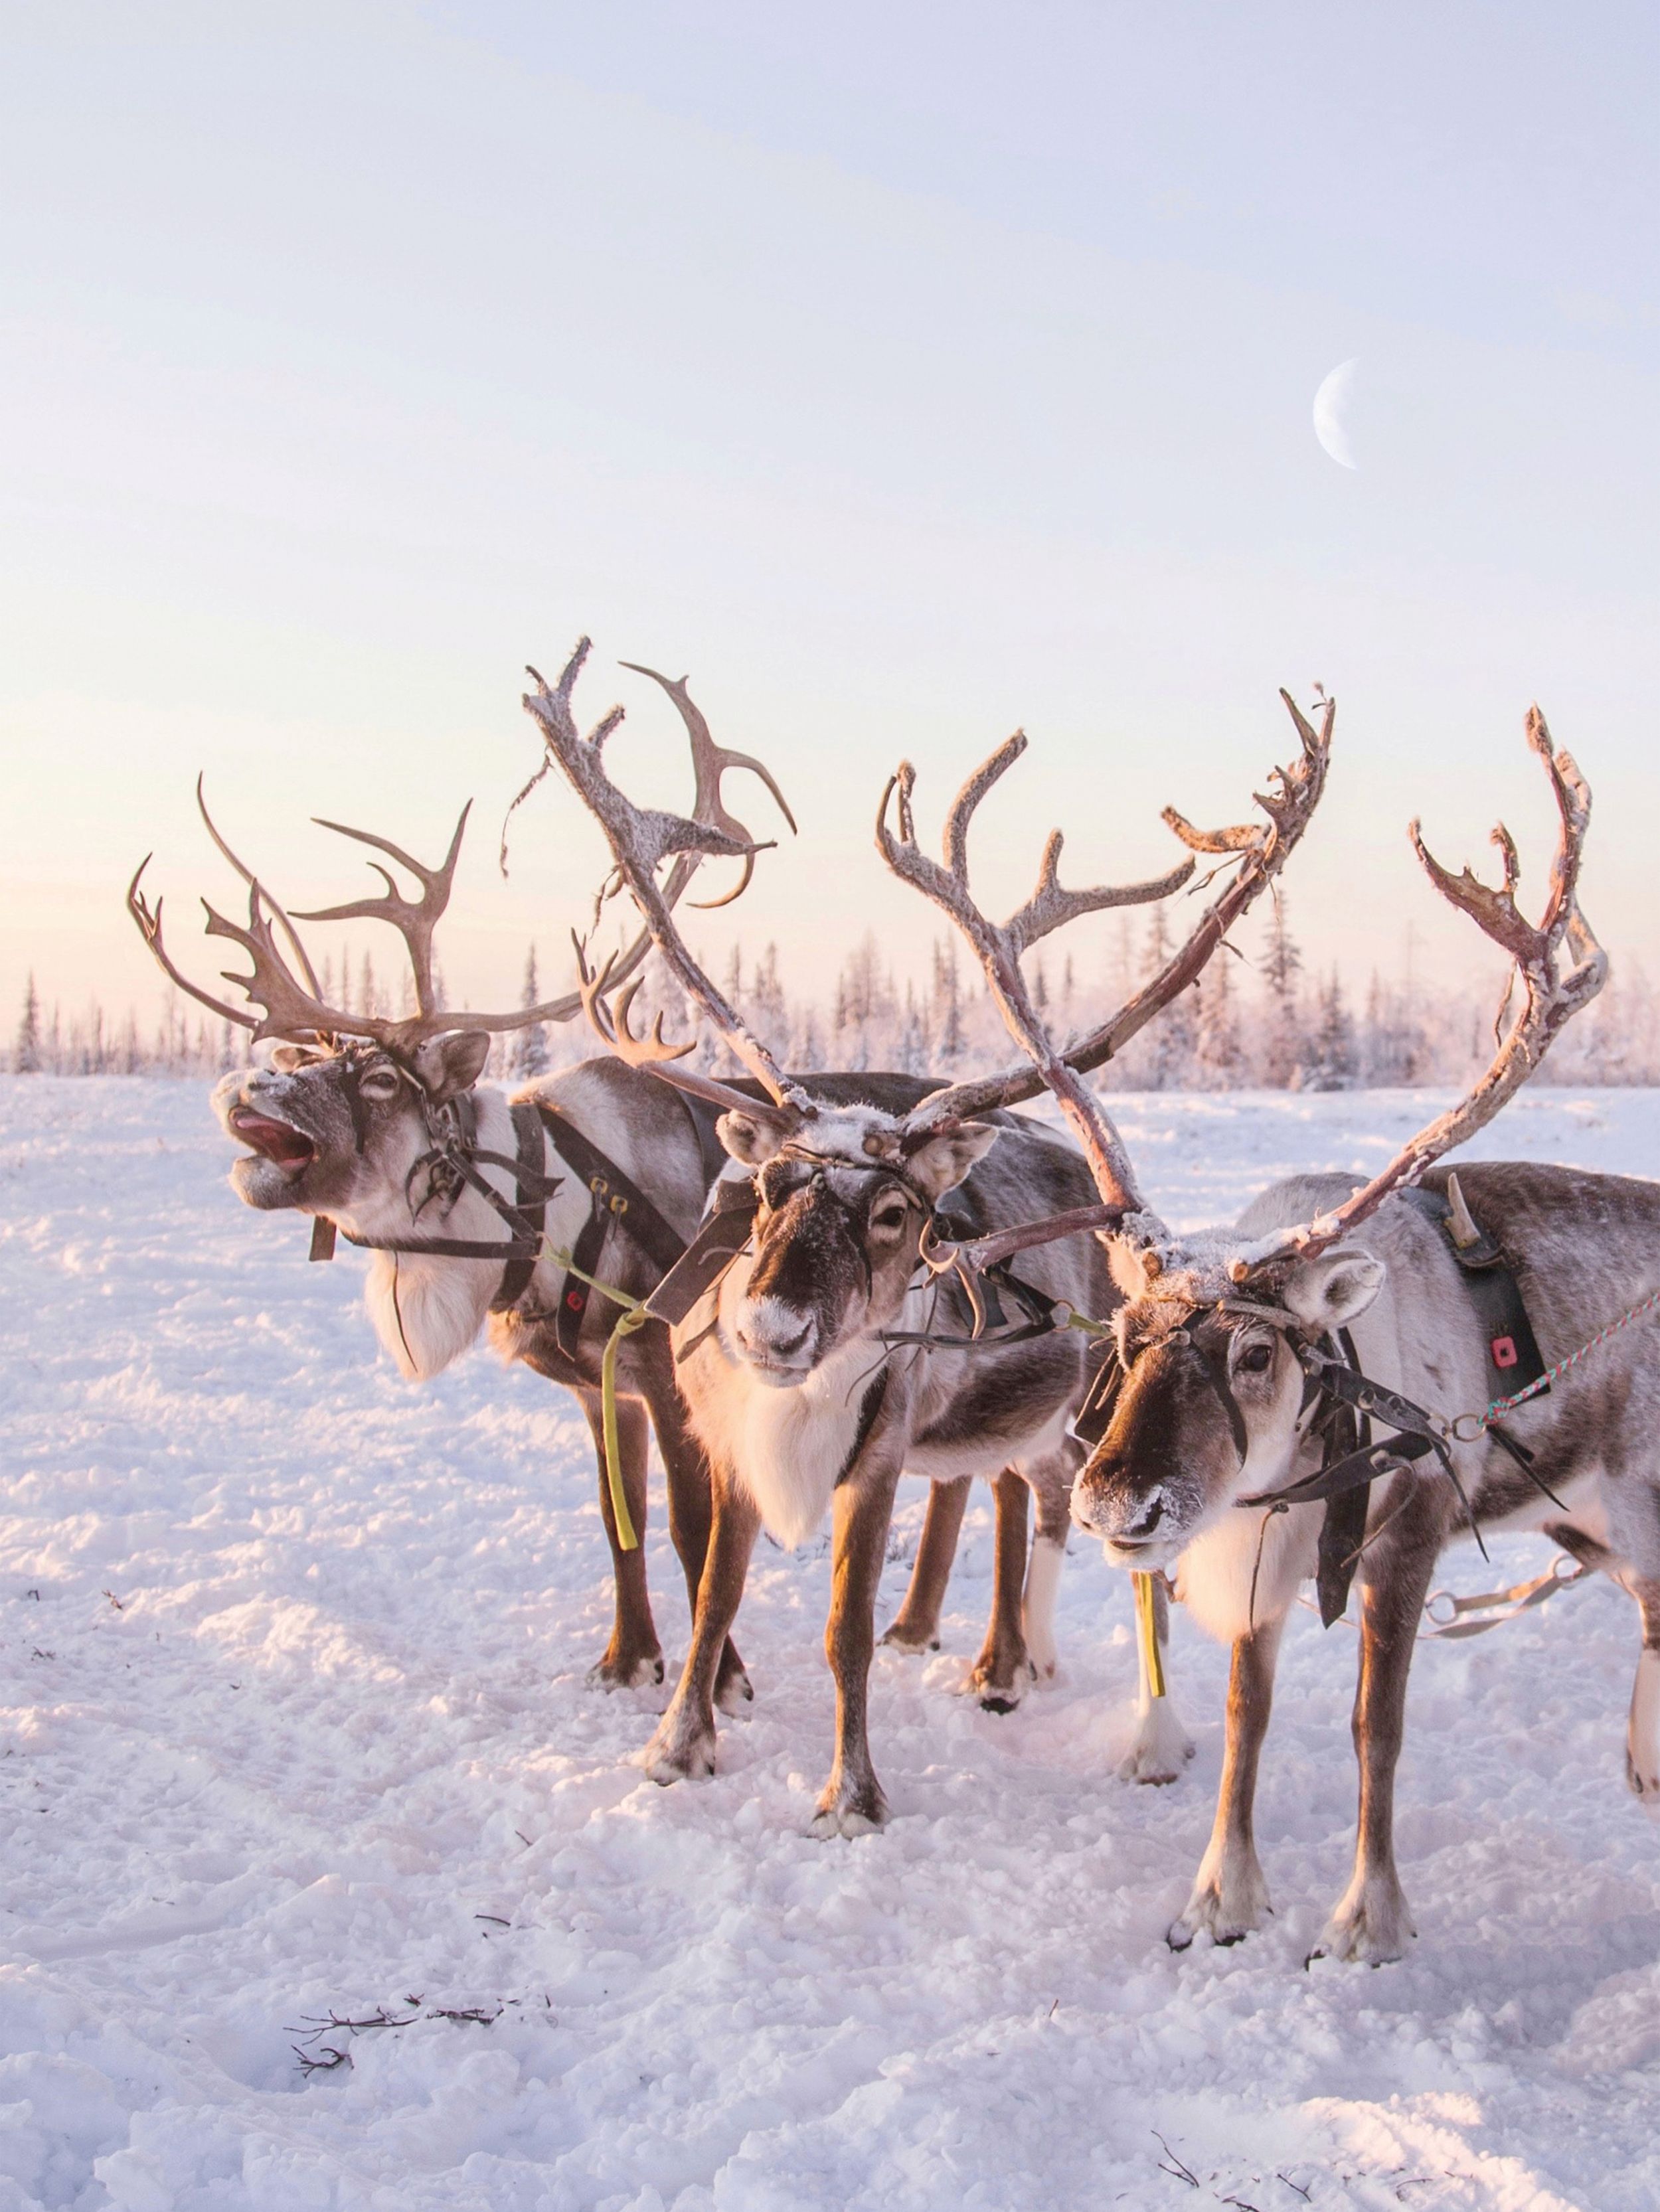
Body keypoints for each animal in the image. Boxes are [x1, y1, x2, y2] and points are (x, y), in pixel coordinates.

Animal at [126, 641, 1048, 1710]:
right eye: (309, 1060)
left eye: (376, 1077)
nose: (243, 1085)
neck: (541, 1216)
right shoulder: (595, 1389)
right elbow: (622, 1525)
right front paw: (628, 1656)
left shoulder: (669, 1377)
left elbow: (691, 1532)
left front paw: (720, 1677)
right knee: (967, 1472)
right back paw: (914, 1625)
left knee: (1011, 1473)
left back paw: (997, 1656)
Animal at [523, 656, 1333, 1834]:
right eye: (762, 1190)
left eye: (894, 1213)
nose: (771, 1328)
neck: (794, 1410)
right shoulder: (726, 1445)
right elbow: (716, 1594)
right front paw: (678, 1746)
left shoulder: (877, 1458)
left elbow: (843, 1633)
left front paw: (851, 1793)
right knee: (1018, 1493)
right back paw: (1005, 1660)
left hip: (1106, 1404)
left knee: (1103, 1531)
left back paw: (1136, 1724)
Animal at [903, 704, 1635, 1964]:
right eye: (1125, 1338)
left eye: (1253, 1353)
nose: (1116, 1506)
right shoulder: (1252, 1550)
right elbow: (1248, 1717)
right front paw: (1221, 1897)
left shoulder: (1407, 1533)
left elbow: (1374, 1728)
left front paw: (1367, 1918)